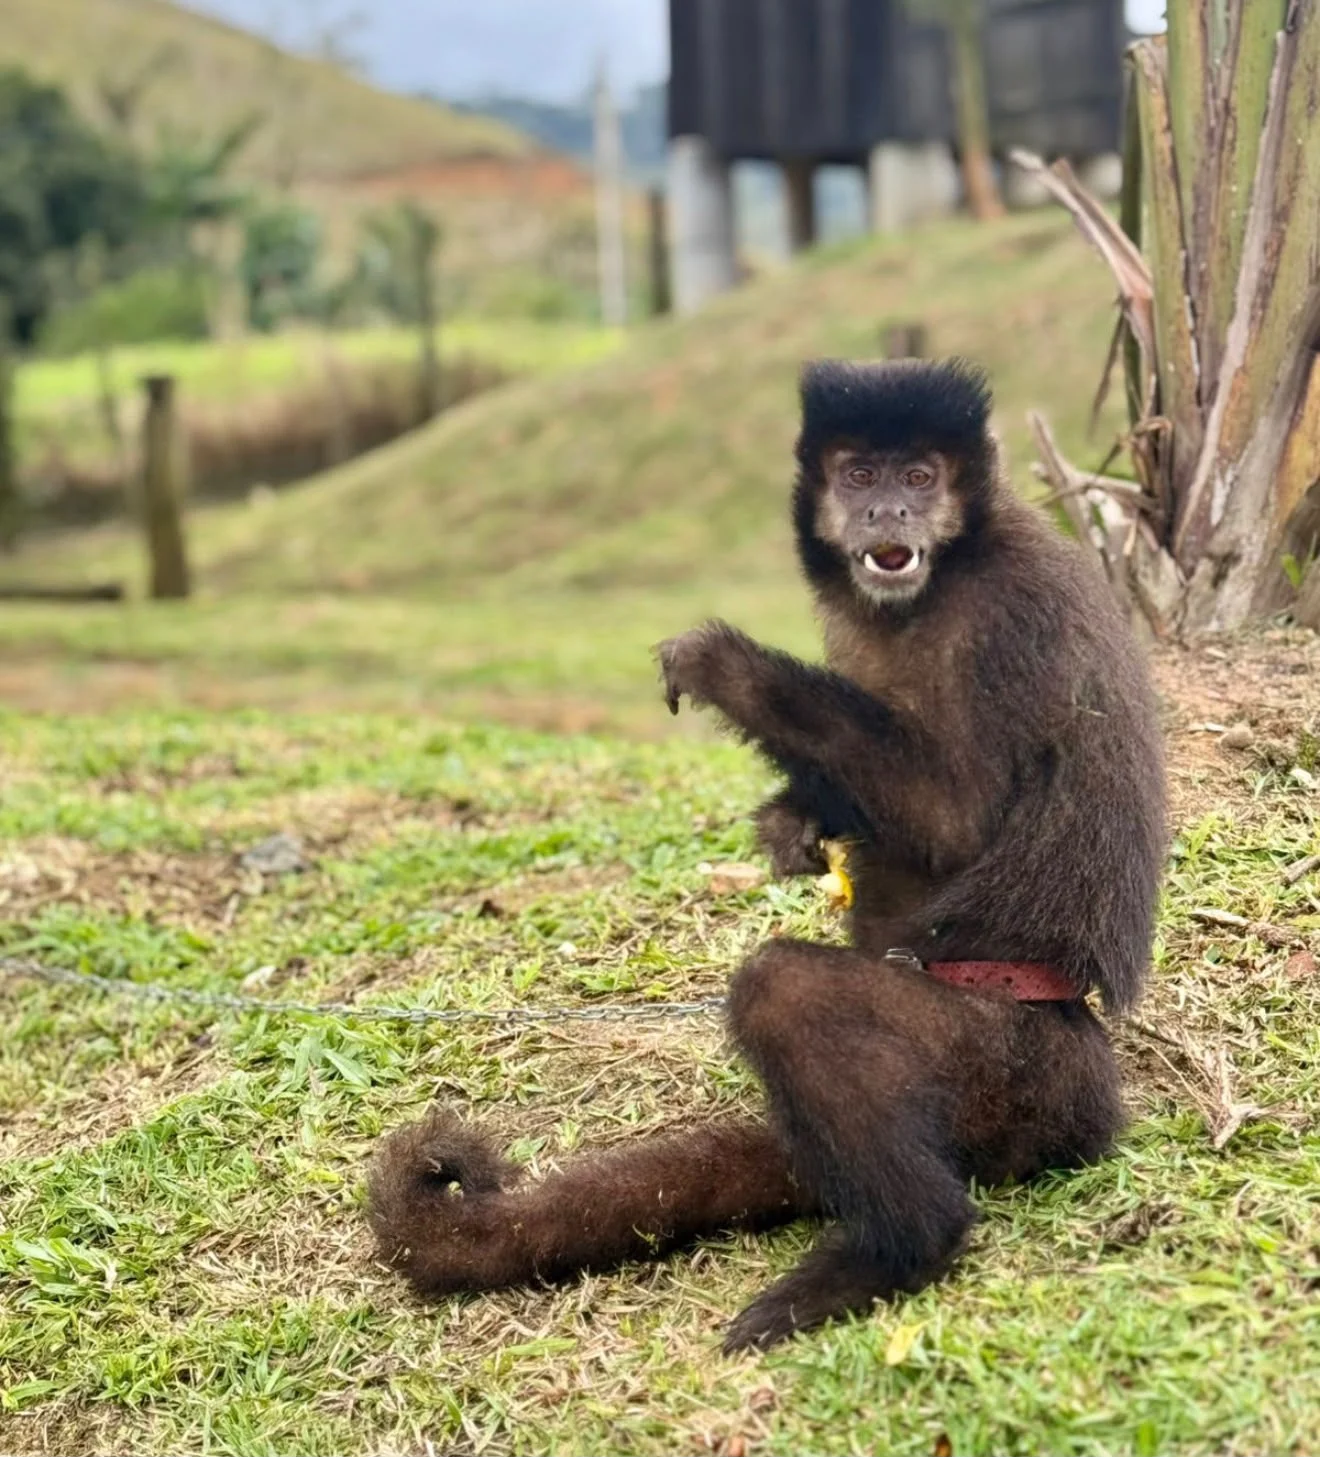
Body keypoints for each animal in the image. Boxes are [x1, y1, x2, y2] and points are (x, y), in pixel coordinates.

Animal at [367, 358, 1166, 1353]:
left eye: (920, 477)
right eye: (860, 475)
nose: (888, 513)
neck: (945, 578)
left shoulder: (1006, 619)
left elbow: (954, 818)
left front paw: (728, 666)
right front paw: (796, 821)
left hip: (1011, 1066)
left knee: (784, 991)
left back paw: (907, 1244)